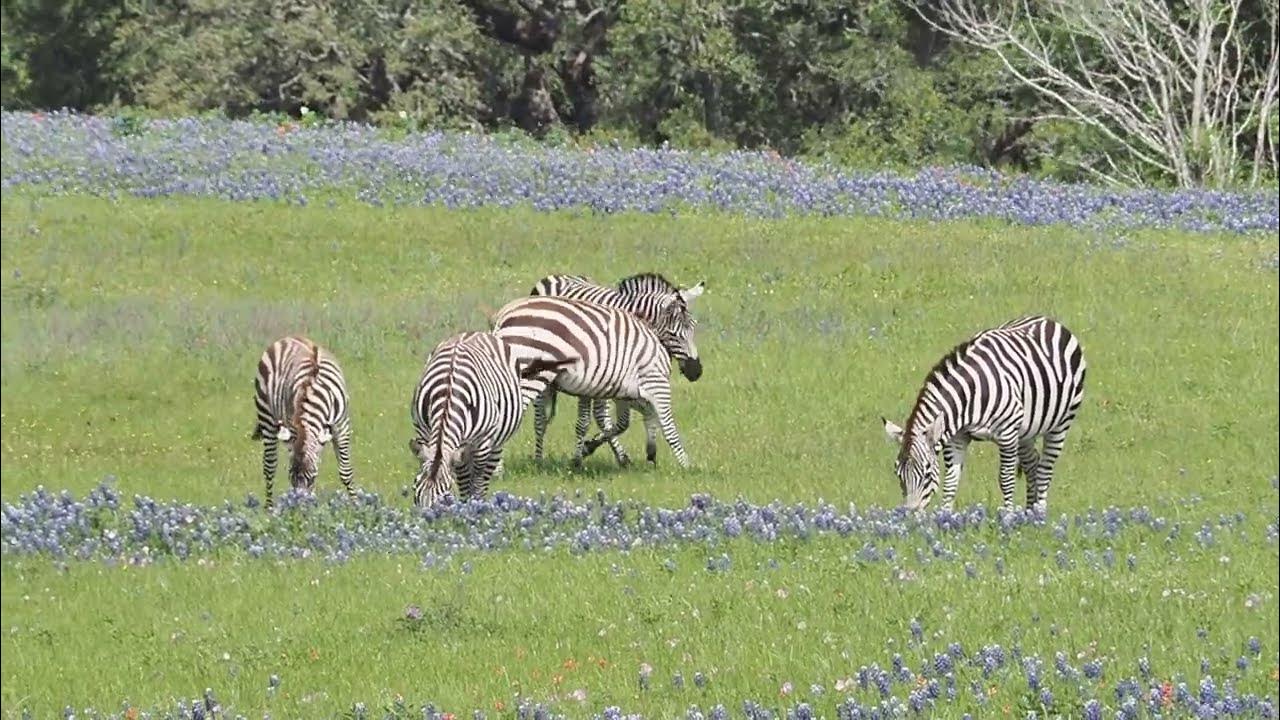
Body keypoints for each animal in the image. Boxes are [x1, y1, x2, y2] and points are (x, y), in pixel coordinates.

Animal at [251, 336, 356, 508]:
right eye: (291, 479)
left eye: (312, 478)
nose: (299, 507)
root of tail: (288, 338)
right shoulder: (293, 427)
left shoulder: (342, 427)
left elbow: (346, 471)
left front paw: (356, 505)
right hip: (266, 416)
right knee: (269, 467)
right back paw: (269, 508)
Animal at [409, 331, 575, 508]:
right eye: (415, 489)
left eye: (445, 495)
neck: (448, 393)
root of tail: (475, 332)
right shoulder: (425, 435)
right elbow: (462, 479)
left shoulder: (482, 444)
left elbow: (476, 482)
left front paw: (472, 506)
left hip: (495, 442)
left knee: (485, 476)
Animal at [491, 294, 699, 468]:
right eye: (673, 334)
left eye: (694, 329)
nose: (696, 372)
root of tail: (504, 315)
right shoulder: (653, 383)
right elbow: (667, 425)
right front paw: (685, 465)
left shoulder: (621, 390)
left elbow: (624, 422)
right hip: (530, 377)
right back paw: (499, 468)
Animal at [881, 315, 1087, 513]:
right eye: (898, 474)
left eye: (927, 473)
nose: (910, 515)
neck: (970, 395)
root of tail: (1048, 320)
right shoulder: (958, 438)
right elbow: (950, 482)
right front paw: (945, 517)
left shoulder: (1007, 434)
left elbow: (1006, 479)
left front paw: (1008, 517)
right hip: (1026, 431)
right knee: (1032, 464)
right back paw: (1029, 514)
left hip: (1060, 424)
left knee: (1045, 469)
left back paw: (1039, 515)